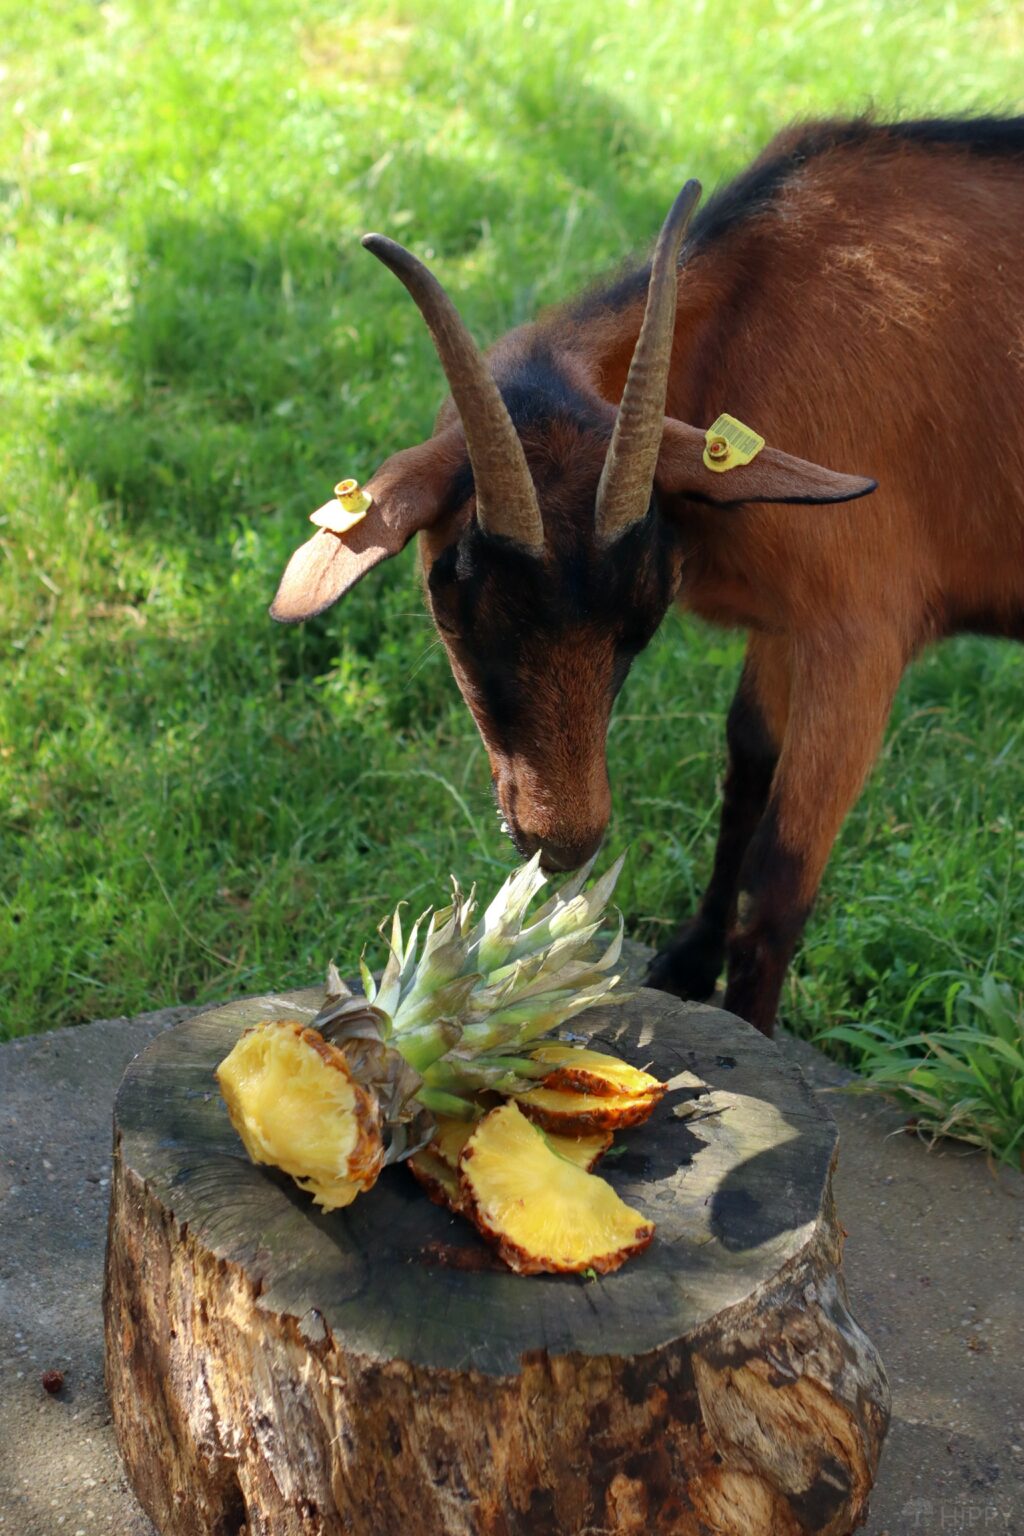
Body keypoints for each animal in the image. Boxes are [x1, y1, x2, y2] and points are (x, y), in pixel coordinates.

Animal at [271, 116, 1024, 1036]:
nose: (565, 841)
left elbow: (781, 879)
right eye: (453, 595)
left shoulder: (860, 633)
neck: (753, 320)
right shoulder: (786, 621)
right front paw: (689, 962)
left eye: (643, 615)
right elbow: (746, 763)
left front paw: (753, 1029)